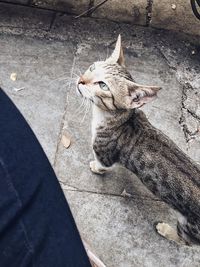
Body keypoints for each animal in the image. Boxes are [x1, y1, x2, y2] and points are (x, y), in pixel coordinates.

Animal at [76, 35, 200, 247]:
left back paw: (165, 229)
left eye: (103, 86)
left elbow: (103, 165)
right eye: (92, 67)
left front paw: (95, 167)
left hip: (188, 228)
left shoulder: (105, 155)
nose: (80, 80)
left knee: (185, 241)